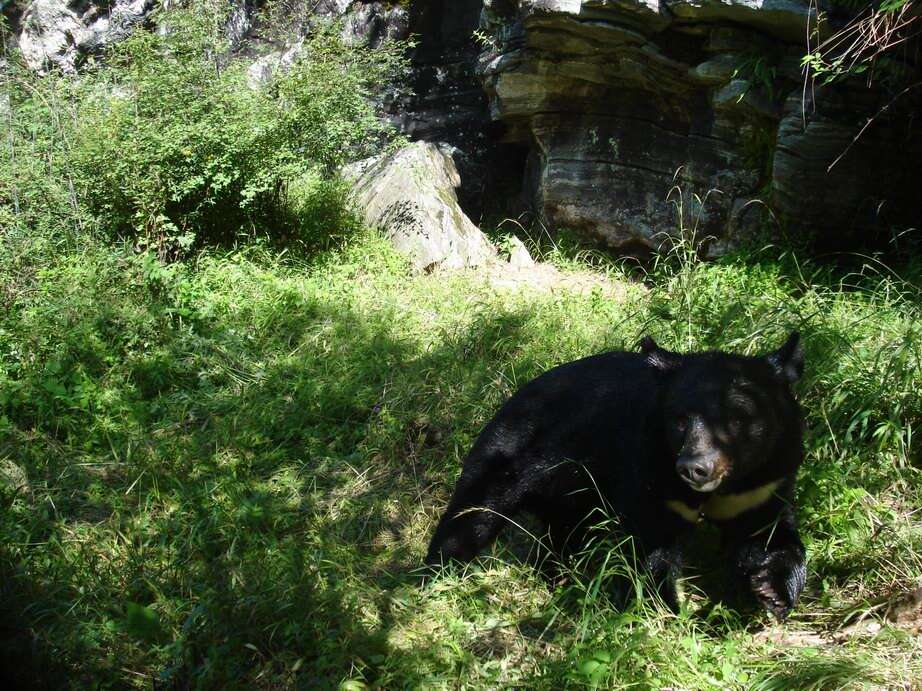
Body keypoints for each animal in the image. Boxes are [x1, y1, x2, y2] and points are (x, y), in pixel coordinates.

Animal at [424, 332, 804, 620]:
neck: (720, 490)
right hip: (511, 452)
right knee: (474, 514)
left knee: (563, 534)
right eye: (680, 419)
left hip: (573, 492)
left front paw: (771, 592)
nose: (694, 468)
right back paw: (435, 574)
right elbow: (653, 547)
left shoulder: (763, 484)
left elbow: (770, 536)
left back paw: (558, 576)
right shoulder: (653, 475)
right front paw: (663, 608)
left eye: (736, 419)